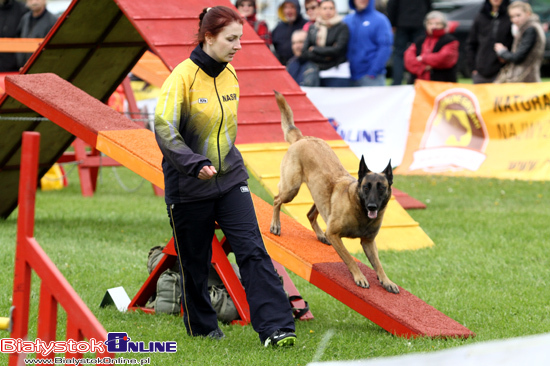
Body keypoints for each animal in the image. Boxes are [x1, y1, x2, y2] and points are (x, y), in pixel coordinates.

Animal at [272, 91, 402, 294]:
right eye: (366, 187)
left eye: (381, 187)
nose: (372, 206)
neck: (359, 209)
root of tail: (303, 138)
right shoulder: (335, 234)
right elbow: (349, 258)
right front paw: (360, 277)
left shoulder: (368, 242)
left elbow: (379, 264)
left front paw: (387, 281)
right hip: (291, 189)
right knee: (277, 200)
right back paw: (276, 225)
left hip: (319, 196)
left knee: (310, 214)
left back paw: (320, 235)